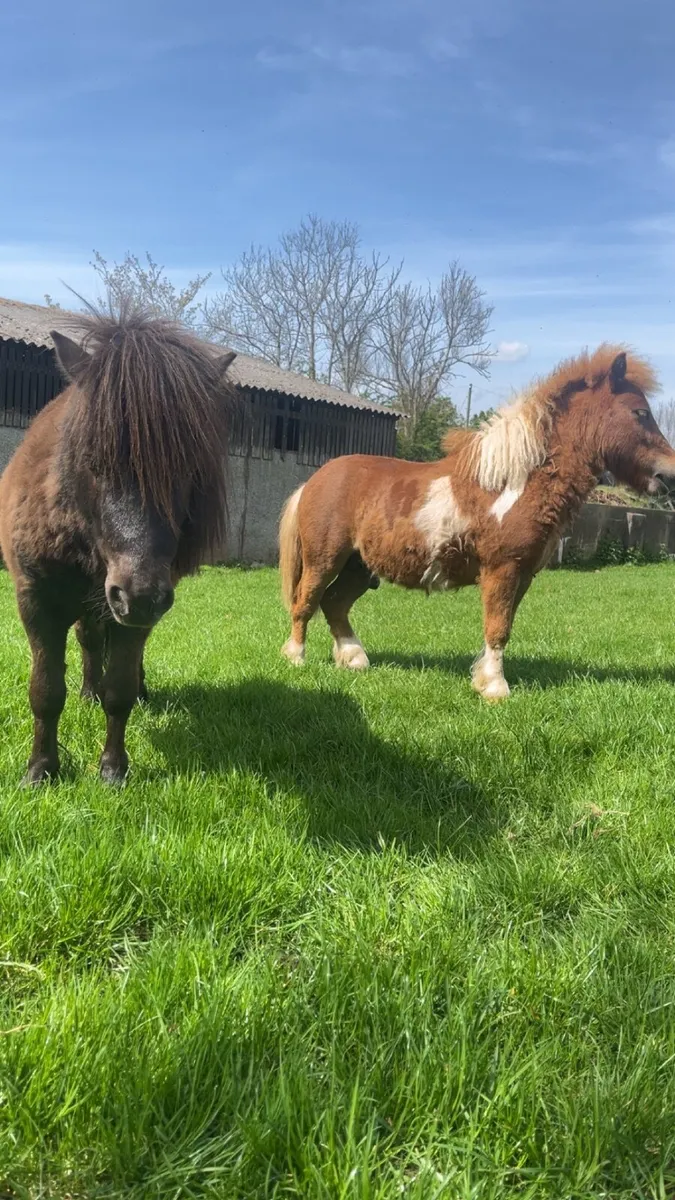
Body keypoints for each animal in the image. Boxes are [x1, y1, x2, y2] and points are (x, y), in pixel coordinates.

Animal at [0, 306, 236, 785]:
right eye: (92, 459)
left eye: (188, 470)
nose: (139, 595)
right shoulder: (36, 602)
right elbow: (46, 690)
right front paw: (41, 769)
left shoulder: (134, 612)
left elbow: (120, 690)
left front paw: (112, 768)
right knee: (89, 641)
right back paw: (87, 691)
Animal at [278, 346, 675, 699]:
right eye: (640, 412)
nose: (668, 474)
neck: (513, 483)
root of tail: (313, 481)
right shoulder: (502, 568)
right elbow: (497, 628)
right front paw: (496, 689)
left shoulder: (523, 574)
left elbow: (503, 626)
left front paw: (484, 679)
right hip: (325, 559)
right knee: (306, 600)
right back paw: (296, 658)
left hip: (359, 566)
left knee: (335, 603)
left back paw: (354, 658)